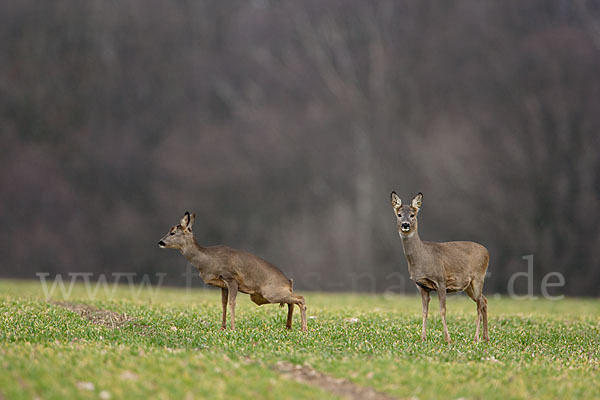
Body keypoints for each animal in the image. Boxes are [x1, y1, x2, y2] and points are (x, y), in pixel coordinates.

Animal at [157, 212, 308, 332]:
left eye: (172, 232)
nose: (160, 242)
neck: (207, 261)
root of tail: (288, 282)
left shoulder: (231, 278)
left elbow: (232, 303)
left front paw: (232, 328)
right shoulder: (222, 284)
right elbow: (223, 304)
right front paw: (222, 327)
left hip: (270, 293)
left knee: (300, 298)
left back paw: (304, 329)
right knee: (291, 302)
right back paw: (289, 327)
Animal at [392, 192, 490, 342]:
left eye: (412, 215)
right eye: (399, 214)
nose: (405, 224)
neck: (421, 259)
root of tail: (487, 252)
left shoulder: (441, 280)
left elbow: (442, 310)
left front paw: (447, 338)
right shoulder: (421, 286)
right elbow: (424, 311)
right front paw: (423, 338)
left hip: (478, 277)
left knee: (479, 304)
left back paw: (476, 338)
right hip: (468, 286)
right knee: (484, 301)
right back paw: (486, 337)